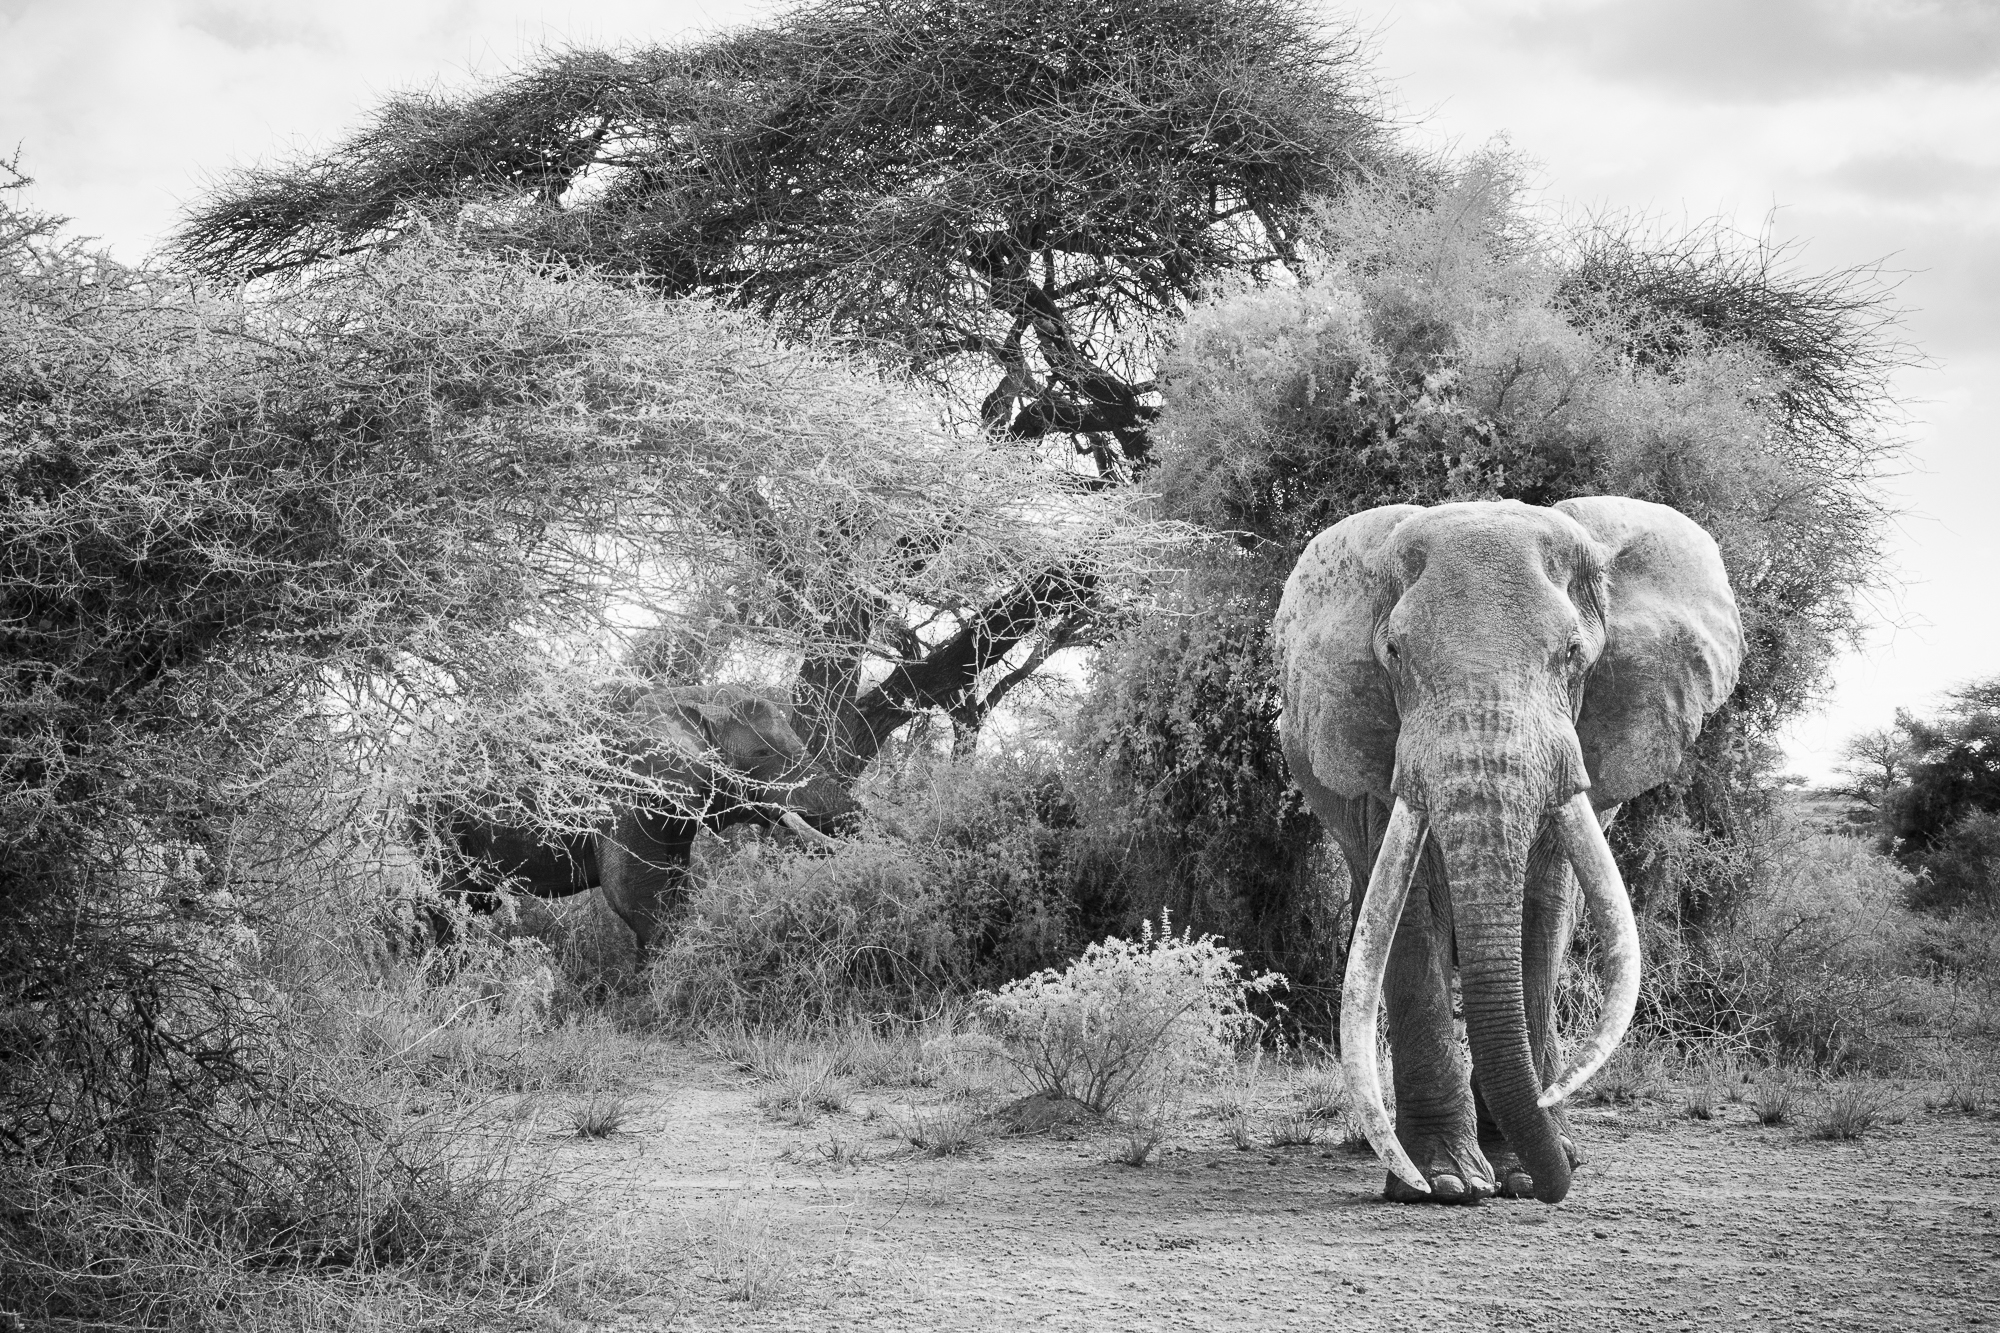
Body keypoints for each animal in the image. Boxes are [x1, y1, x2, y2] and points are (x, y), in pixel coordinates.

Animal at [438, 682, 861, 958]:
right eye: (763, 753)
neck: (692, 697)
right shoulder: (626, 792)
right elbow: (632, 891)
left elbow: (673, 886)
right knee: (447, 904)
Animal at [1275, 497, 1742, 1205]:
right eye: (1393, 653)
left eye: (1573, 654)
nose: (1553, 1190)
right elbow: (1409, 915)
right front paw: (1443, 1184)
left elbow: (1542, 908)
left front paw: (1520, 1175)